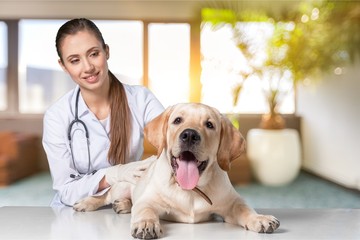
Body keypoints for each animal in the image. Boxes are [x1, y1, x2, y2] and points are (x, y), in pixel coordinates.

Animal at [74, 102, 282, 238]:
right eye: (177, 120)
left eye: (209, 125)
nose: (189, 135)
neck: (191, 190)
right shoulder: (149, 200)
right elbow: (145, 209)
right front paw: (146, 224)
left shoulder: (231, 203)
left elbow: (244, 208)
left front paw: (260, 218)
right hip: (123, 185)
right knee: (106, 195)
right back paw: (87, 202)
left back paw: (123, 205)